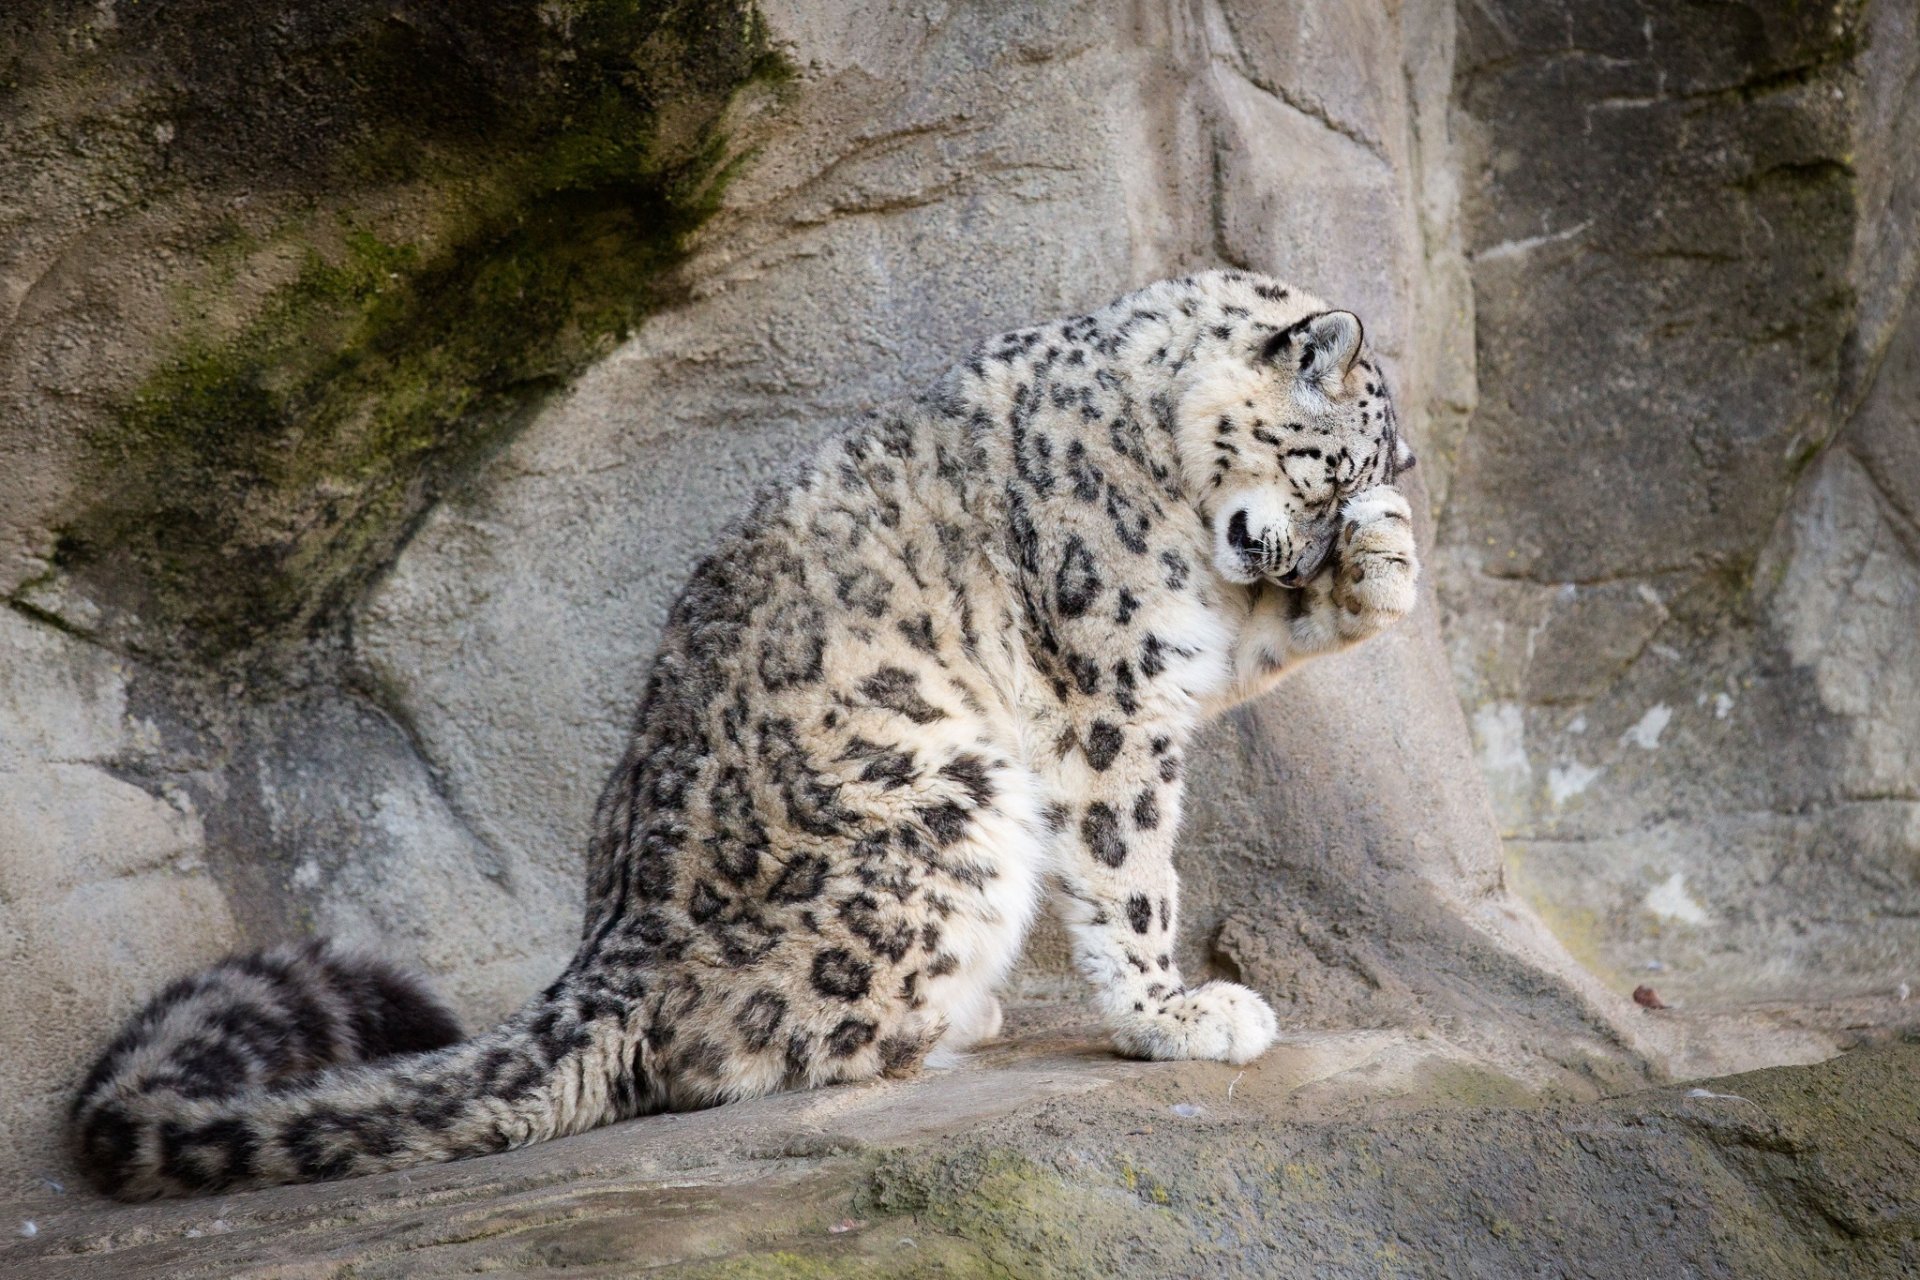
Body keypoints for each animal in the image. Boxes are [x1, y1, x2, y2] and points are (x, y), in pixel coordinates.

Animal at [70, 269, 1419, 1198]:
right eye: (1333, 467)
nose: (1304, 549)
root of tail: (612, 946)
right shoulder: (1115, 683)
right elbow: (1132, 868)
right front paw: (1174, 1014)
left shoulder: (1186, 637)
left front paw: (1386, 566)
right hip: (954, 799)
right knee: (721, 1052)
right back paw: (946, 1023)